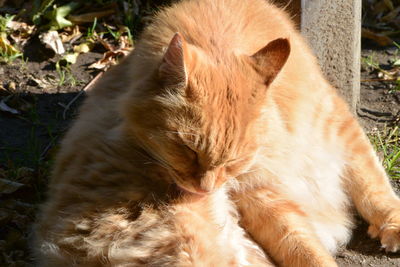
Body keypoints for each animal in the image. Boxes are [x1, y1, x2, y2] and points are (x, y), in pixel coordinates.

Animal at [33, 0, 400, 266]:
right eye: (187, 149)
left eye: (233, 160)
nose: (205, 189)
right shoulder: (259, 197)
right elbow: (299, 244)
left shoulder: (336, 127)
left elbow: (373, 186)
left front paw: (391, 225)